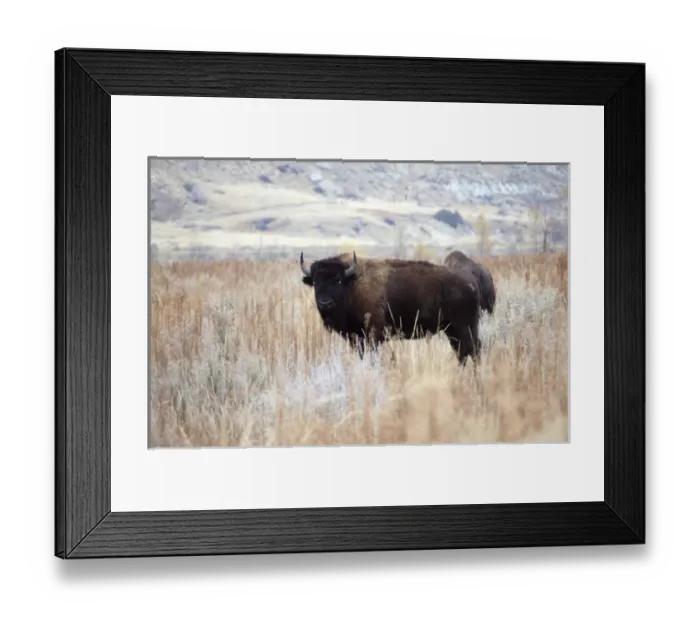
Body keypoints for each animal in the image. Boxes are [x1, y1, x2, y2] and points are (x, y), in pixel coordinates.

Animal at [300, 251, 482, 364]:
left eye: (338, 280)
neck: (352, 284)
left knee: (470, 351)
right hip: (454, 330)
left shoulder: (374, 335)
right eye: (315, 282)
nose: (325, 303)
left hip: (461, 328)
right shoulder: (357, 339)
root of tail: (471, 283)